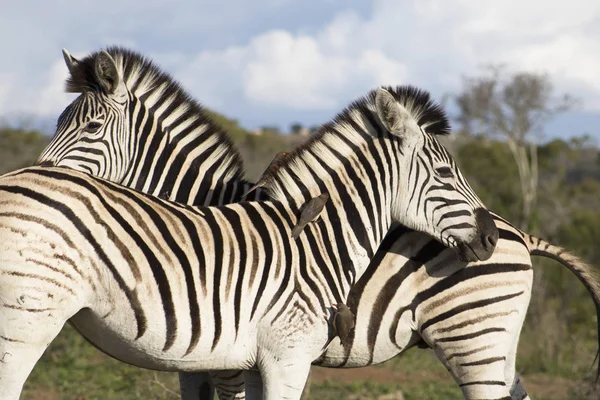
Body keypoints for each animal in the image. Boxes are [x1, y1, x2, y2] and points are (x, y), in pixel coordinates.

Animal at [1, 84, 496, 400]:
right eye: (445, 173)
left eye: (90, 128)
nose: (488, 236)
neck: (317, 239)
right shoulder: (284, 357)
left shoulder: (253, 363)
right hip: (25, 323)